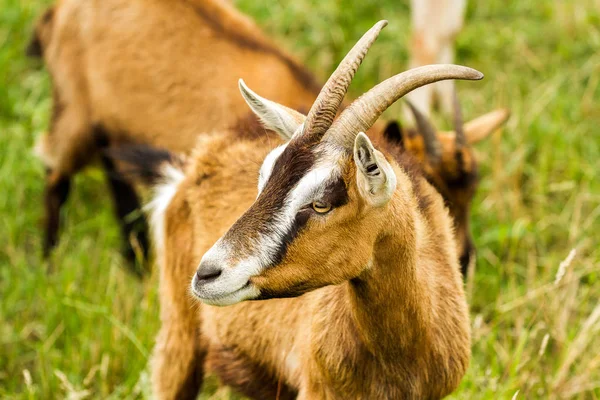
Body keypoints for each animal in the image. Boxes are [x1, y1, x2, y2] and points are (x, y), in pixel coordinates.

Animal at [116, 21, 482, 396]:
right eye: (263, 180)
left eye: (321, 203)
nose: (206, 275)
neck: (401, 354)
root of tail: (191, 166)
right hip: (179, 338)